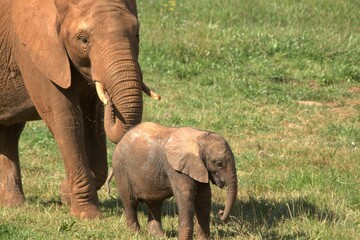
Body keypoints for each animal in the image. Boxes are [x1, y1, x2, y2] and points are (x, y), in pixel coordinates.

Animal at [0, 0, 148, 219]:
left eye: (137, 35)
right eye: (83, 40)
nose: (109, 100)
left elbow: (92, 119)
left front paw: (65, 194)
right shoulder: (34, 52)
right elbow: (66, 119)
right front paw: (88, 216)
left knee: (10, 131)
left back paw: (13, 206)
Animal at [106, 123, 239, 239]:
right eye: (218, 163)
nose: (221, 212)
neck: (199, 136)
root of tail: (121, 141)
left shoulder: (199, 168)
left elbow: (204, 199)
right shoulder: (176, 169)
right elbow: (186, 199)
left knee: (155, 204)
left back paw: (159, 236)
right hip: (121, 169)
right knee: (130, 202)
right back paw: (136, 235)